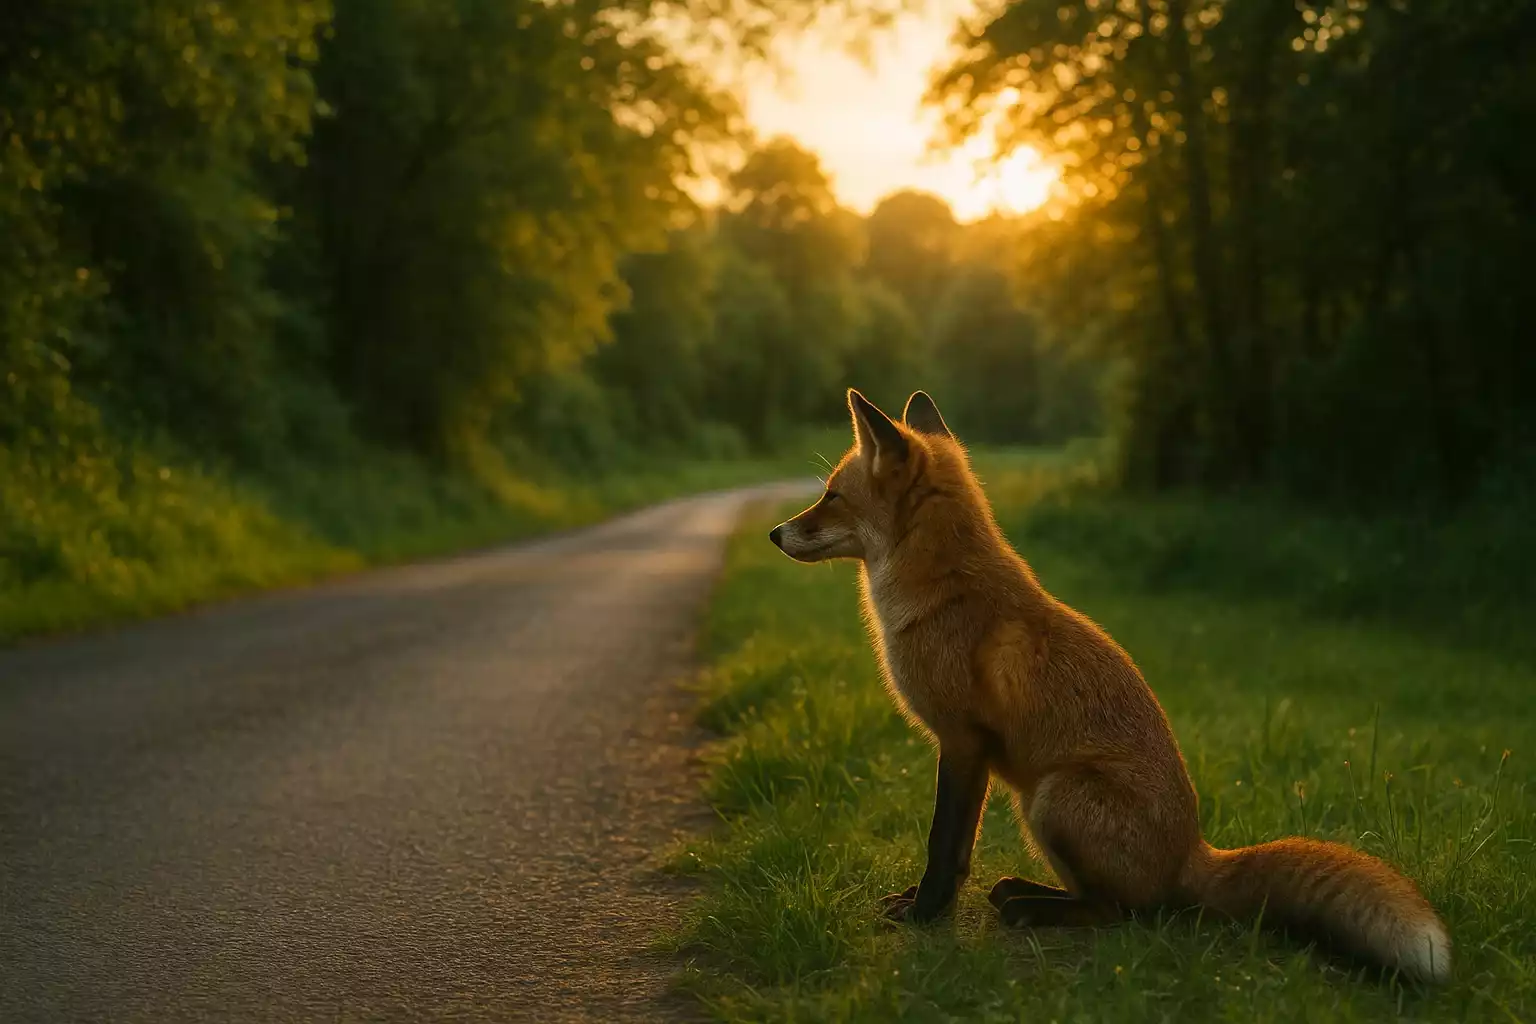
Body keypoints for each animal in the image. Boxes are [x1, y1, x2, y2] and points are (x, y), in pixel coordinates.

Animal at [767, 388, 1450, 983]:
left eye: (831, 495)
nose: (774, 533)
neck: (944, 594)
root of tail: (1193, 852)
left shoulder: (963, 741)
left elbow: (945, 843)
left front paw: (924, 915)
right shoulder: (968, 749)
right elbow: (955, 847)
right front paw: (928, 907)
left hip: (1054, 798)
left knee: (1125, 912)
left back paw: (1031, 908)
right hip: (1038, 806)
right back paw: (1024, 892)